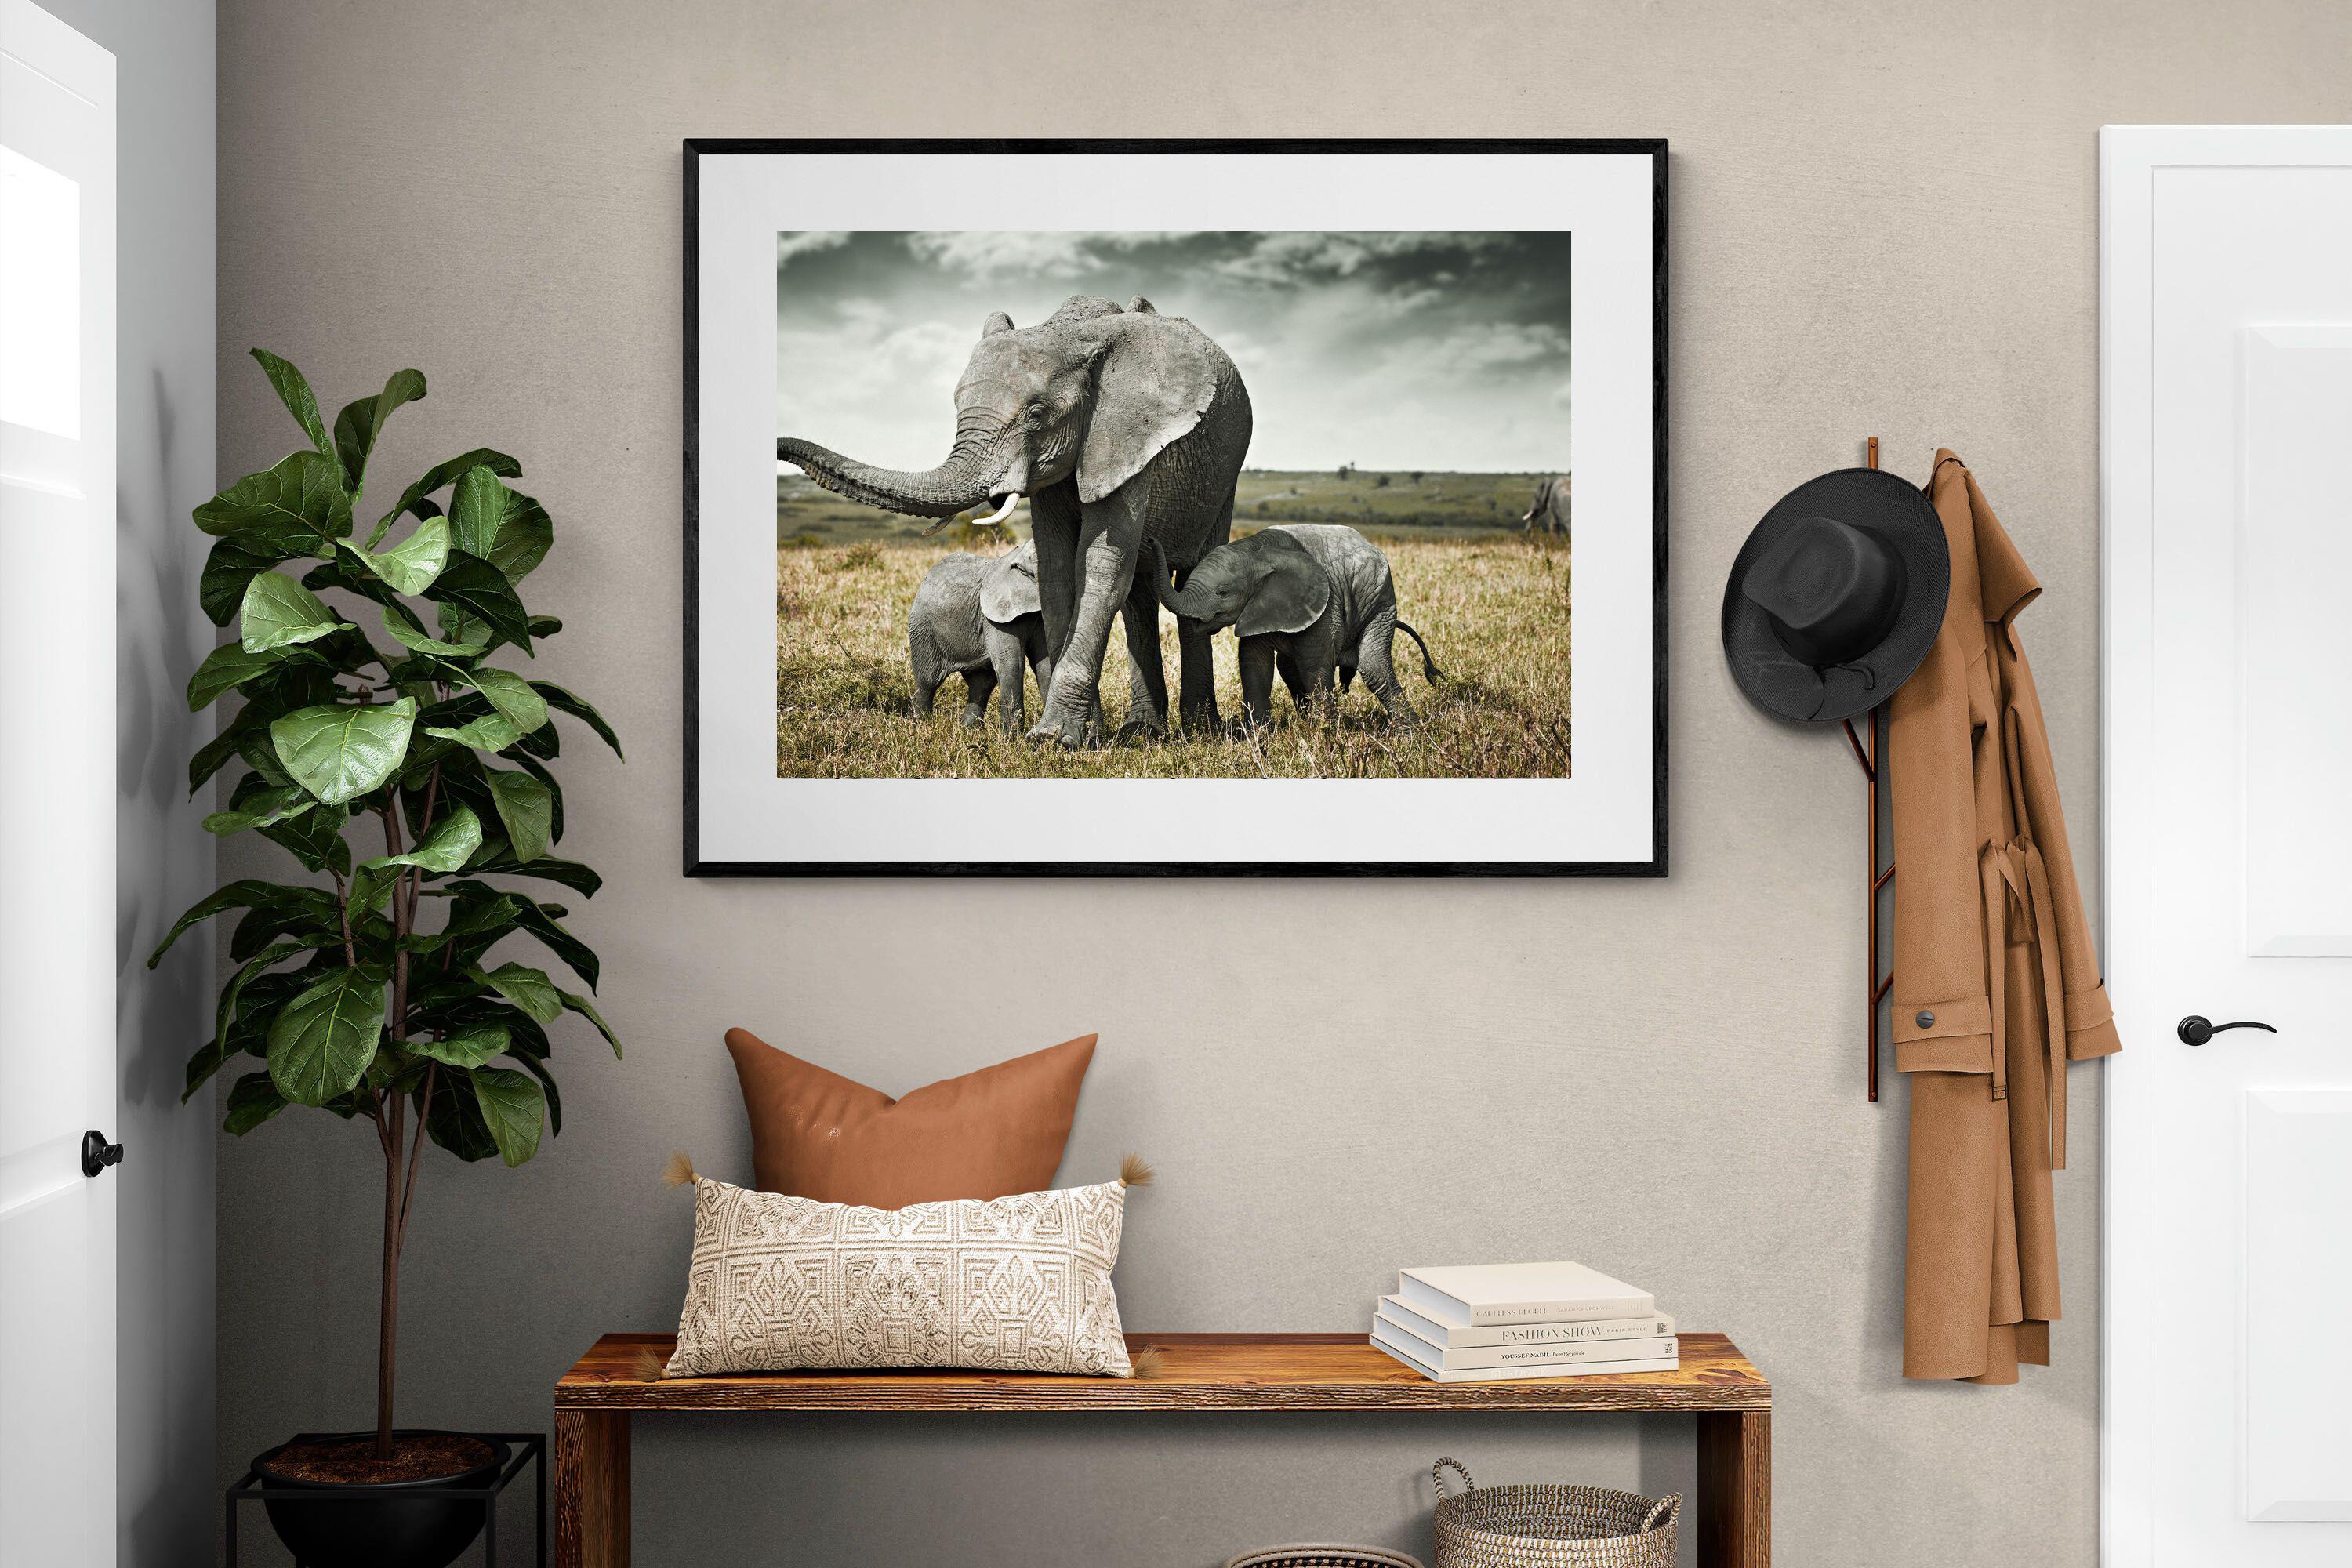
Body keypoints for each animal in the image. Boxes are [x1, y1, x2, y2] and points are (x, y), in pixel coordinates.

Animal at [906, 540, 1052, 736]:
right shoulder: (995, 619)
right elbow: (1012, 664)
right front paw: (1013, 740)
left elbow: (1044, 664)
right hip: (923, 628)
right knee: (928, 681)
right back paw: (922, 727)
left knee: (982, 683)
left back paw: (969, 731)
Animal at [1146, 524, 1441, 730]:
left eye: (1223, 592)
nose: (1150, 540)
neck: (1256, 551)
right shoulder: (1258, 605)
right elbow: (1254, 662)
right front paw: (1259, 735)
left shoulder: (1325, 604)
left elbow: (1313, 665)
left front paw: (1325, 734)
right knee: (1288, 666)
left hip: (1381, 602)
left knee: (1373, 667)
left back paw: (1411, 733)